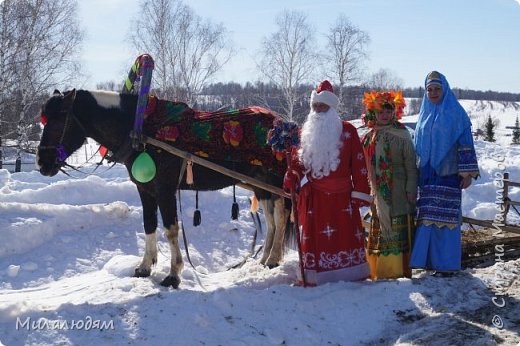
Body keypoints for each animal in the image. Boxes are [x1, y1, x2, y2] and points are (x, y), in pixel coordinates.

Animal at [37, 88, 292, 288]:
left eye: (58, 121)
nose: (42, 163)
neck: (141, 132)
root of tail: (282, 124)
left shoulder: (164, 190)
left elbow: (171, 230)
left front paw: (173, 274)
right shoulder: (145, 190)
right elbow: (149, 225)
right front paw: (144, 267)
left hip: (275, 182)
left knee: (281, 215)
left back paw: (273, 259)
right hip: (260, 186)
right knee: (271, 220)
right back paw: (264, 259)